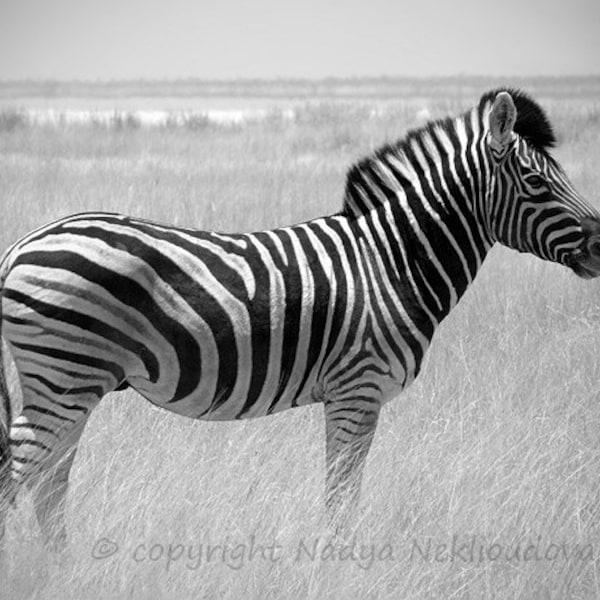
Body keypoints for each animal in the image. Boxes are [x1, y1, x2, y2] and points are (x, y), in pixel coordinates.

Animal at [0, 89, 600, 548]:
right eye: (538, 184)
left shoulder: (351, 394)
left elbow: (341, 491)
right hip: (64, 375)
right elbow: (341, 494)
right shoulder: (359, 388)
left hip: (75, 381)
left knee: (49, 481)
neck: (392, 259)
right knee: (19, 472)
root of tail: (22, 245)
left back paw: (63, 564)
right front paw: (340, 564)